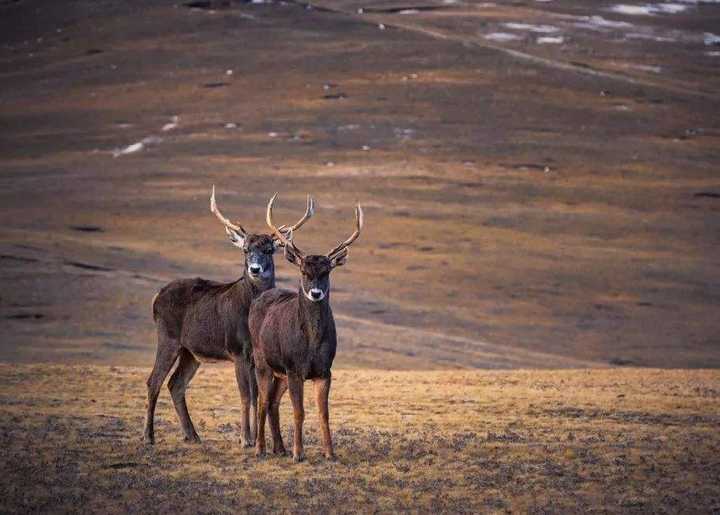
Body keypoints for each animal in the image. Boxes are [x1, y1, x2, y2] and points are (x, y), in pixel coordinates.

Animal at [145, 188, 314, 448]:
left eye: (269, 250)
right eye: (245, 250)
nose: (255, 269)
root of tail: (156, 297)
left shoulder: (255, 355)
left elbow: (257, 396)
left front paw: (255, 438)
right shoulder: (237, 350)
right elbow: (246, 396)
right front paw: (246, 439)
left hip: (190, 351)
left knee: (175, 383)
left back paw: (192, 435)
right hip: (168, 337)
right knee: (154, 381)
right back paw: (148, 436)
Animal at [249, 195, 362, 464]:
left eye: (327, 271)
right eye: (303, 271)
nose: (316, 293)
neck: (310, 343)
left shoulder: (324, 370)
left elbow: (324, 413)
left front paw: (330, 453)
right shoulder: (294, 368)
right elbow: (299, 411)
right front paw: (298, 453)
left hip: (280, 372)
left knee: (272, 402)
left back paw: (279, 448)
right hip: (262, 360)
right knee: (262, 401)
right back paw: (260, 449)